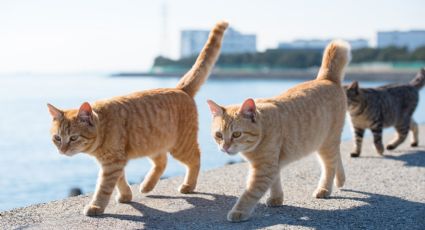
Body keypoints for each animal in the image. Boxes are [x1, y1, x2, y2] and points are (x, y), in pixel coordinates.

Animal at [46, 21, 229, 216]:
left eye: (73, 138)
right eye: (57, 138)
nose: (62, 150)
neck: (102, 126)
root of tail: (179, 88)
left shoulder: (112, 163)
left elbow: (104, 187)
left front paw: (96, 206)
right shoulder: (114, 162)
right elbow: (120, 180)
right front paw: (126, 196)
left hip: (181, 146)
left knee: (196, 159)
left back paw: (188, 185)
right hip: (153, 143)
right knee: (162, 162)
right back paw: (147, 185)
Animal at [207, 40, 350, 222]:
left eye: (236, 134)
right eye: (219, 135)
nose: (225, 147)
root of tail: (325, 78)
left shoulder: (264, 168)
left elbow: (250, 193)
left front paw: (239, 211)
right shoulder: (273, 164)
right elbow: (275, 181)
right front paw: (277, 199)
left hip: (326, 143)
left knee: (329, 165)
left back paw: (324, 189)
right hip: (326, 142)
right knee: (337, 156)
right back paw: (341, 179)